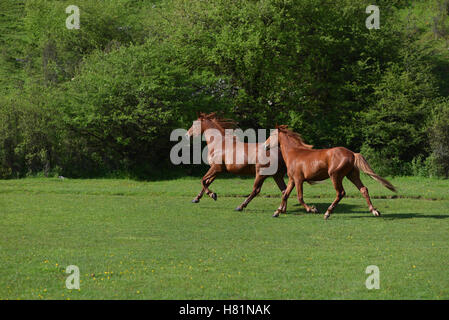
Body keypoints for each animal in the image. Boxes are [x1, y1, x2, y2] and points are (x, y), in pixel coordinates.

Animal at [262, 125, 396, 220]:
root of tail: (352, 154)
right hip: (351, 175)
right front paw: (277, 212)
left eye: (272, 134)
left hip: (335, 176)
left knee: (341, 193)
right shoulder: (292, 180)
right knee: (363, 189)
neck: (294, 153)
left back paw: (327, 213)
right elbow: (285, 194)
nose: (264, 146)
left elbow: (300, 197)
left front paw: (312, 209)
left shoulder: (299, 179)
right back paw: (374, 211)